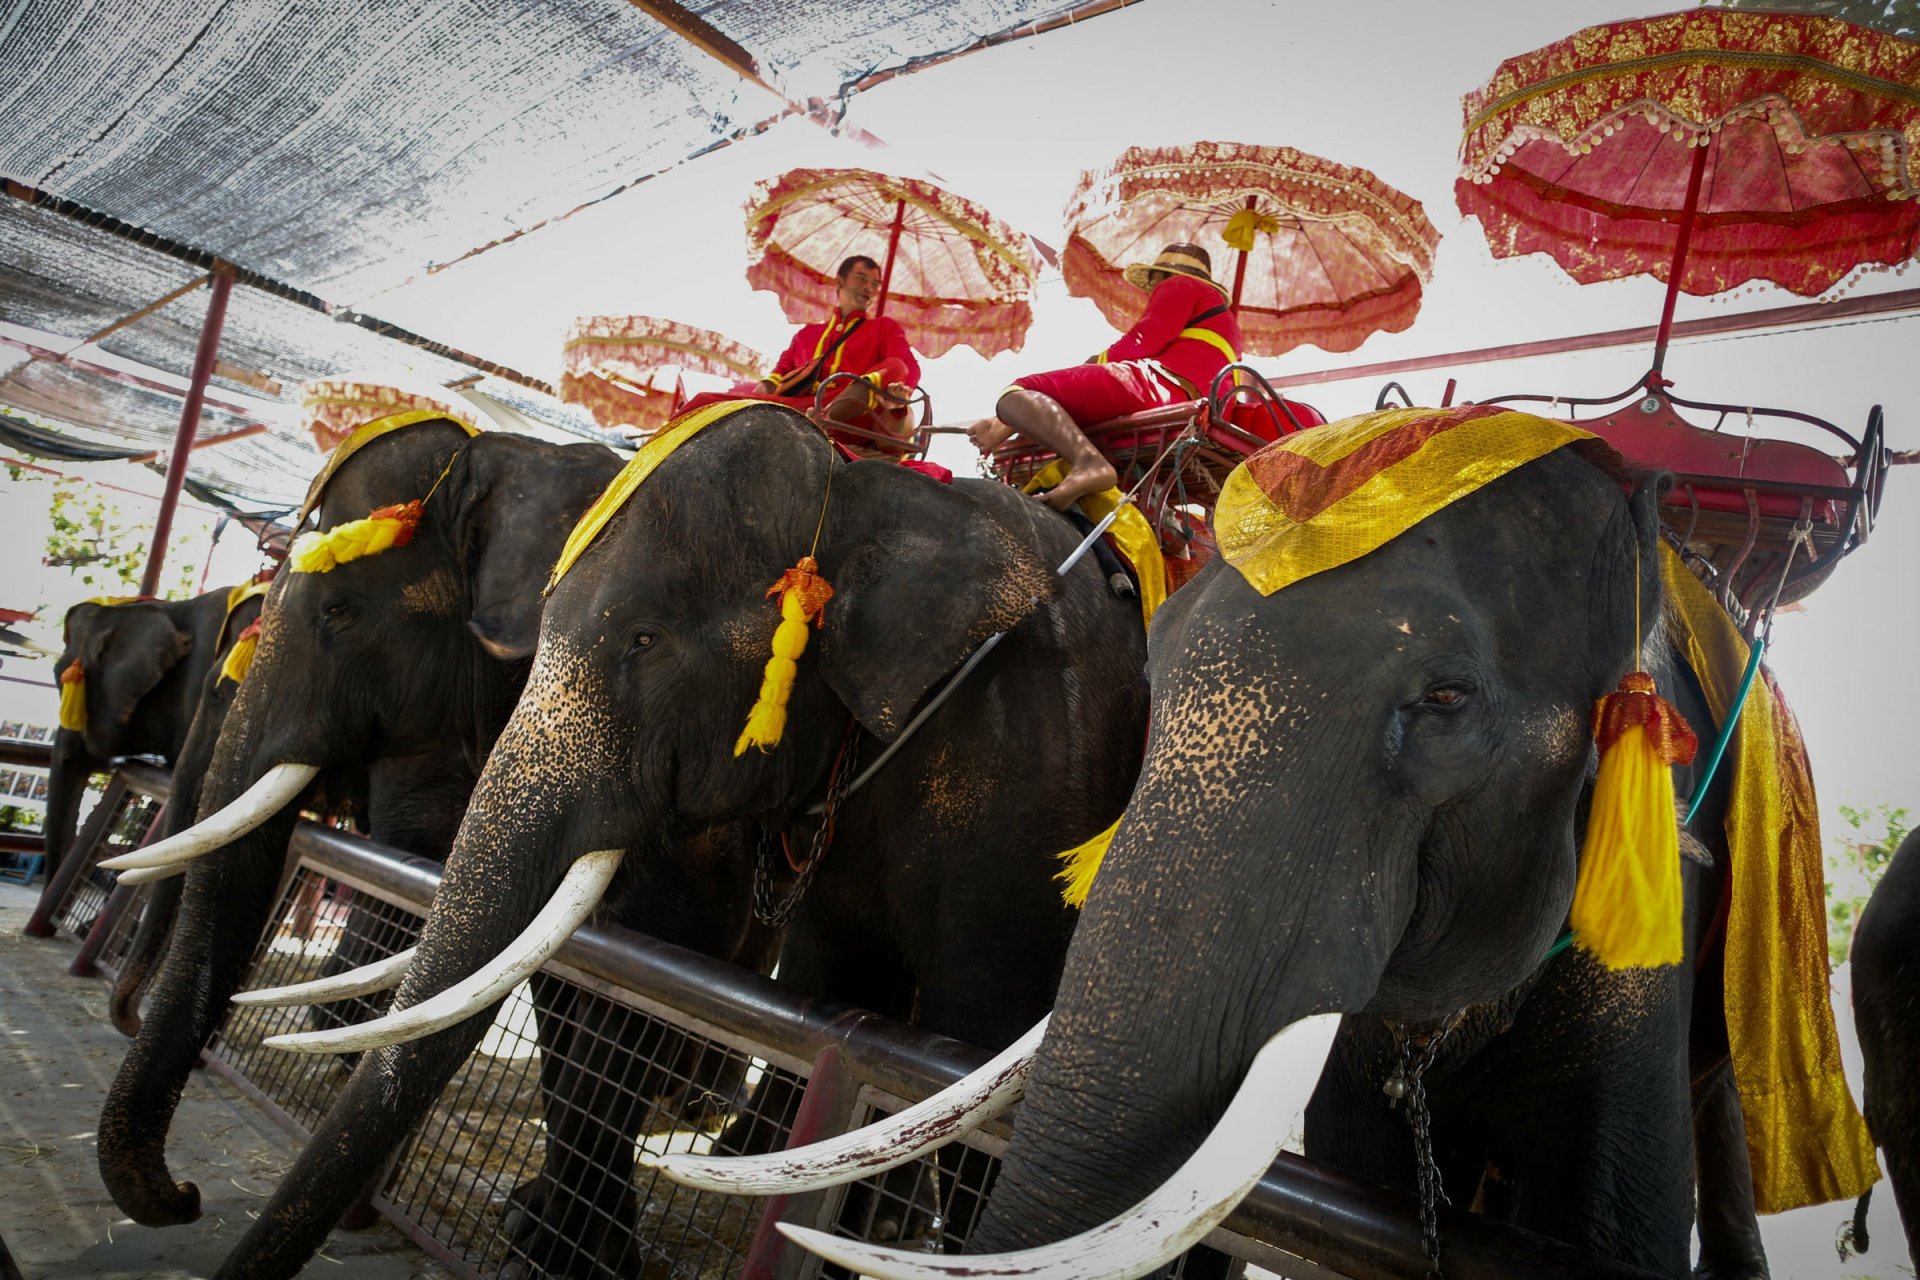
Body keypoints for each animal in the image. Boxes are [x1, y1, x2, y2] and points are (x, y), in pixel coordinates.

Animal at [205, 402, 1151, 1279]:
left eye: (644, 639)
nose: (180, 1198)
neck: (859, 494)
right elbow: (588, 965)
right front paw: (543, 1236)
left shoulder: (1030, 751)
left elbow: (975, 1023)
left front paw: (569, 1251)